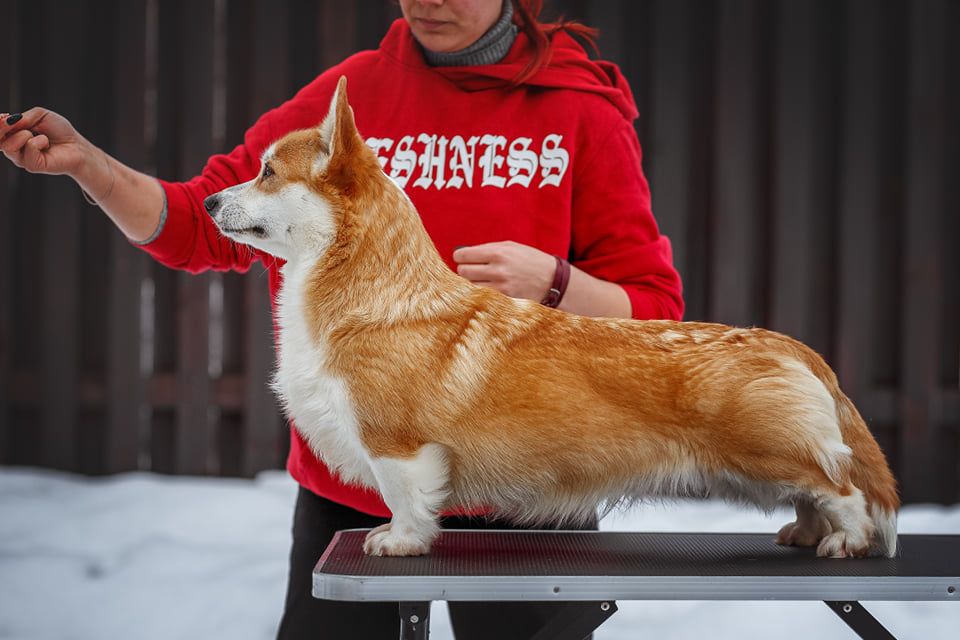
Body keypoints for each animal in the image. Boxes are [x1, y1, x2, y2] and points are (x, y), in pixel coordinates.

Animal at [202, 77, 900, 556]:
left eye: (266, 172)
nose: (207, 202)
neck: (375, 293)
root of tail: (795, 349)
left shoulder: (396, 446)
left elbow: (407, 502)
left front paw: (397, 542)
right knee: (815, 495)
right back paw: (803, 534)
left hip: (773, 451)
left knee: (842, 489)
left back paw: (845, 540)